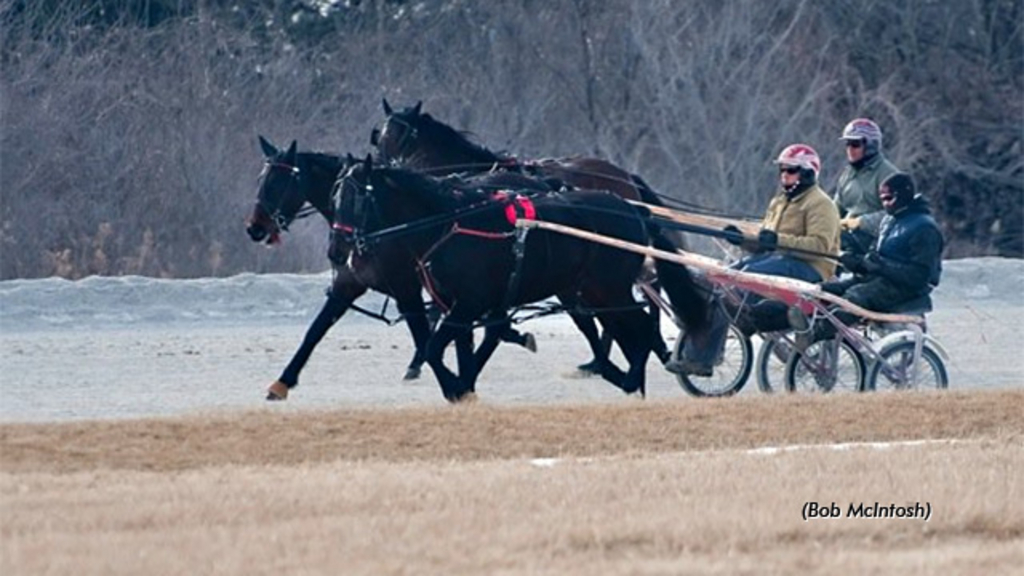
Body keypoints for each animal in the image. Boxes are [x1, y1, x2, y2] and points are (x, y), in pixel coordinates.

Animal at [244, 136, 544, 397]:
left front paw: (450, 383)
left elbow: (424, 338)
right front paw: (282, 382)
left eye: (278, 182)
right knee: (493, 326)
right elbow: (315, 330)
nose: (254, 228)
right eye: (260, 180)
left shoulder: (406, 288)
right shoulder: (348, 284)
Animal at [331, 156, 708, 399]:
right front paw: (462, 386)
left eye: (356, 198)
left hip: (609, 289)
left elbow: (435, 348)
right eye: (334, 197)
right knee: (632, 329)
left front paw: (455, 386)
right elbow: (453, 349)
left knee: (642, 327)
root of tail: (632, 209)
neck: (448, 224)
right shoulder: (460, 307)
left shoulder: (468, 304)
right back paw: (631, 381)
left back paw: (631, 381)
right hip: (596, 293)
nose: (338, 250)